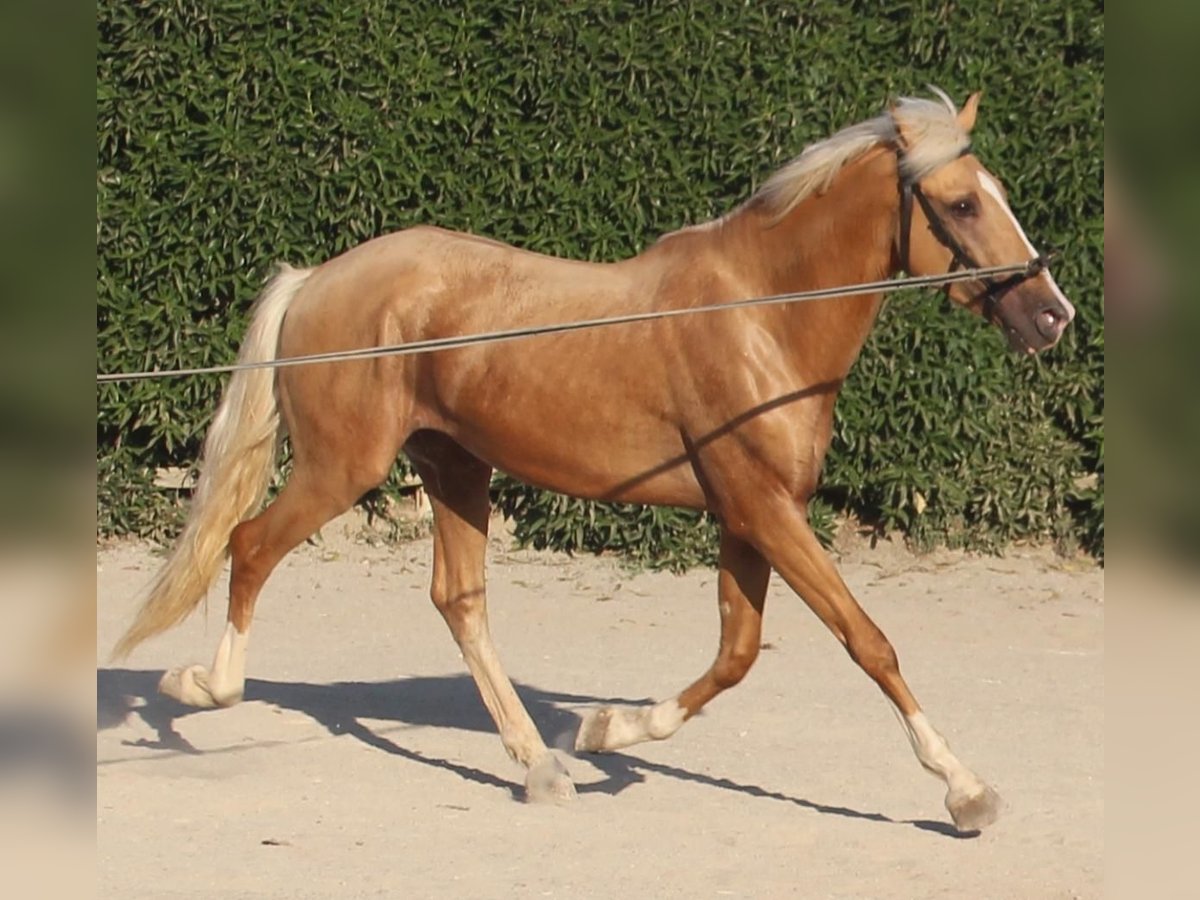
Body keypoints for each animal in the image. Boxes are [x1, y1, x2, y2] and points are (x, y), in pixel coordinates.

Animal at [114, 90, 1080, 830]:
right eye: (962, 204)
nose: (1052, 314)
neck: (761, 314)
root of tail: (317, 278)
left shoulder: (746, 516)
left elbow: (737, 653)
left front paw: (609, 730)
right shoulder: (766, 509)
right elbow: (866, 640)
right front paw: (965, 790)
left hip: (455, 467)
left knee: (459, 600)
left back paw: (539, 765)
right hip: (342, 467)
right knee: (250, 547)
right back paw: (198, 689)